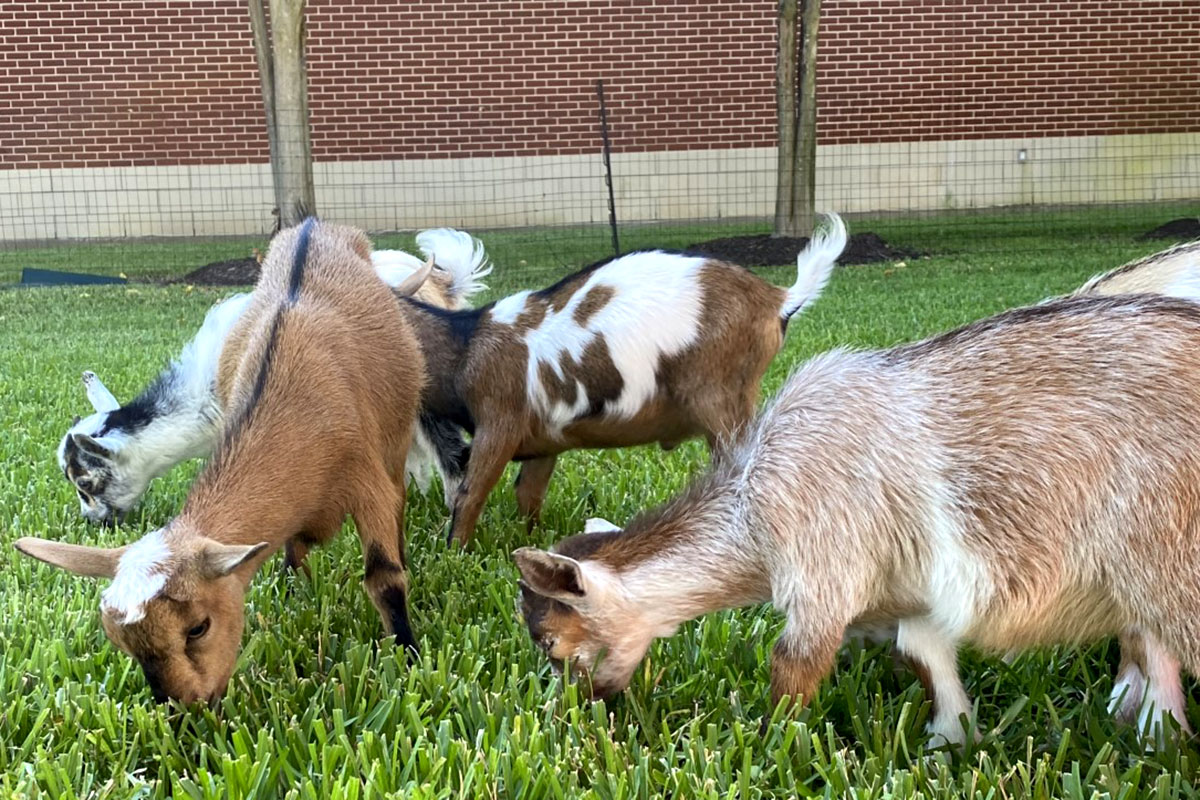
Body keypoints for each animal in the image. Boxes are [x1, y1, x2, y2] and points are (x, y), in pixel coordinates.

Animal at [15, 219, 427, 700]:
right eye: (121, 644)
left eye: (199, 627)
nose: (187, 708)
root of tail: (315, 226)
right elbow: (292, 545)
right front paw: (293, 591)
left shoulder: (367, 478)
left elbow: (384, 576)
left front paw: (409, 657)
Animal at [403, 215, 844, 546]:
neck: (466, 347)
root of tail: (778, 299)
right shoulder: (543, 439)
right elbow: (528, 494)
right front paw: (531, 541)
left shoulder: (500, 420)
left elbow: (470, 495)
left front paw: (455, 553)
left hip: (721, 398)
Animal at [520, 297, 1200, 748]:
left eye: (551, 643)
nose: (577, 713)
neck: (752, 506)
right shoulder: (912, 589)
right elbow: (925, 656)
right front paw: (950, 743)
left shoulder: (823, 561)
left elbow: (792, 666)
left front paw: (765, 745)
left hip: (1168, 550)